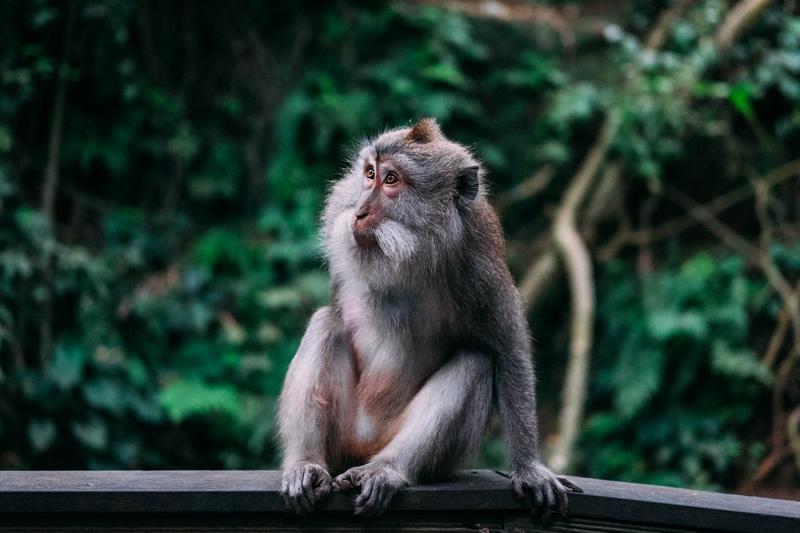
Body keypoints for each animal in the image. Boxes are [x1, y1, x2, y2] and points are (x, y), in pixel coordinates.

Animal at [277, 118, 581, 518]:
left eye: (391, 180)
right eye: (369, 174)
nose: (358, 211)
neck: (411, 253)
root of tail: (364, 446)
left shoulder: (481, 267)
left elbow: (508, 349)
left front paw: (530, 468)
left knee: (475, 361)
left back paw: (387, 469)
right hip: (344, 434)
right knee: (327, 323)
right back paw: (306, 464)